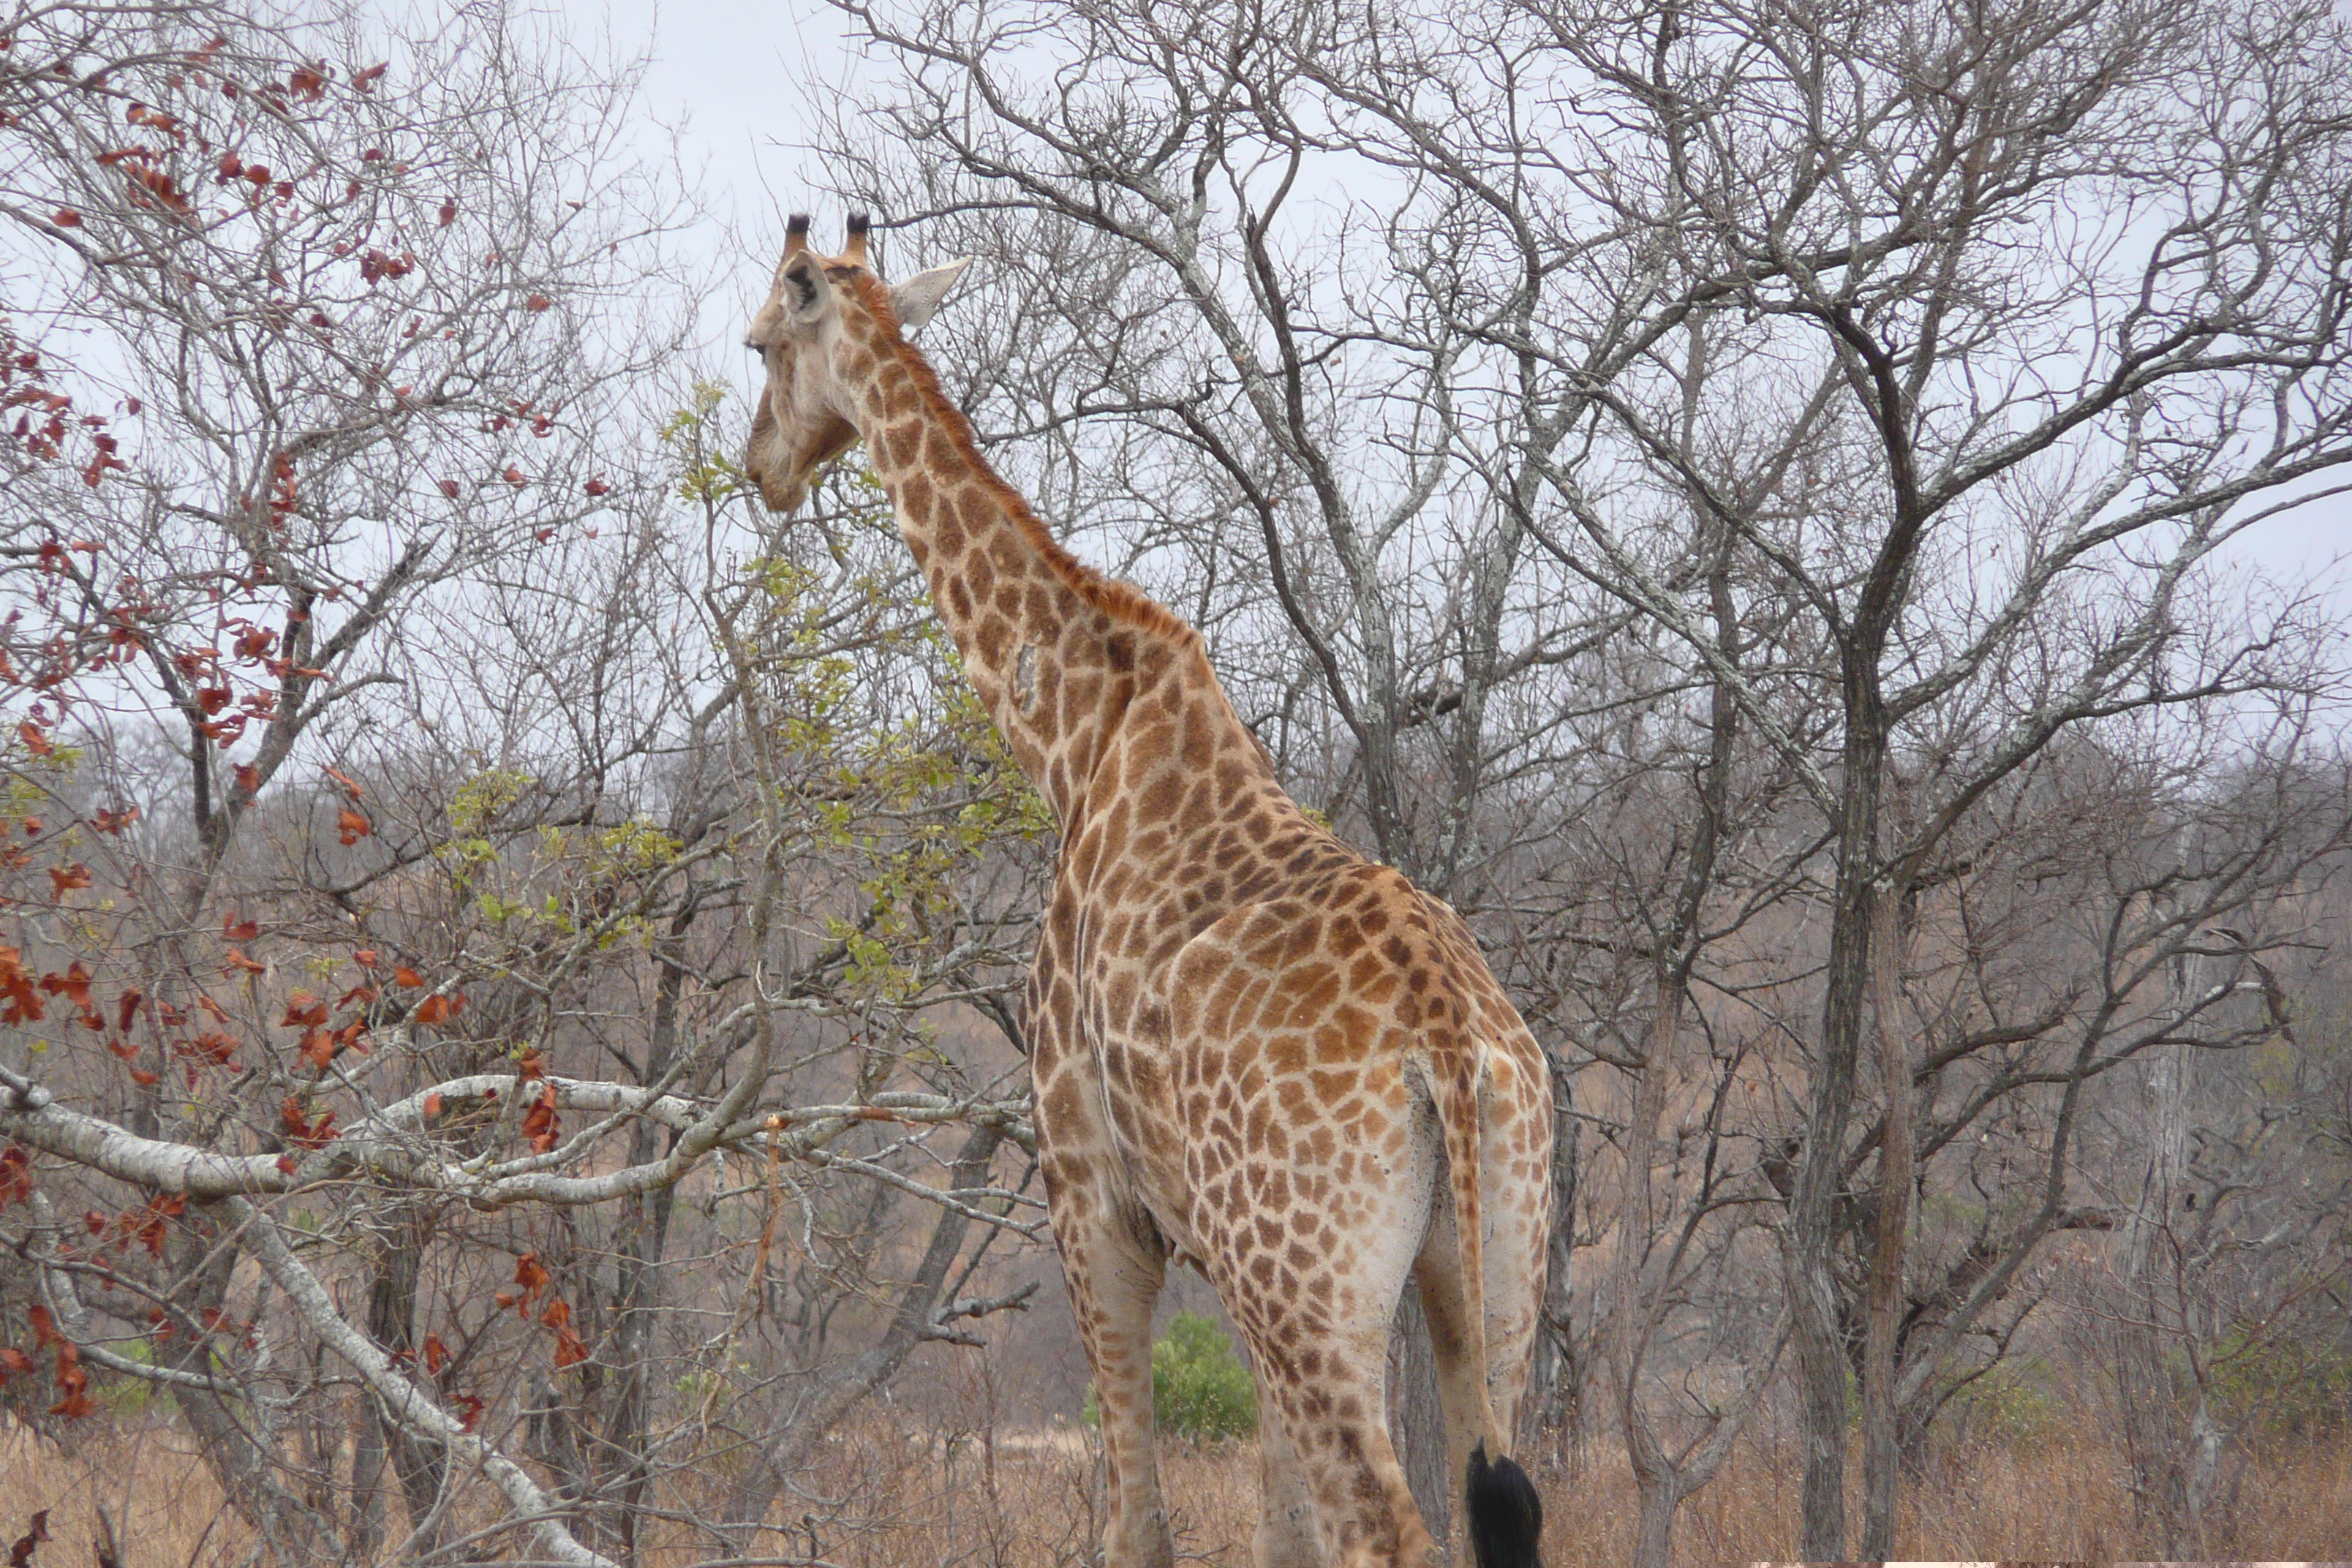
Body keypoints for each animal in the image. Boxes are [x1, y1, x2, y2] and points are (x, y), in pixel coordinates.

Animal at [753, 217, 1552, 1568]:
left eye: (761, 341)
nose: (762, 466)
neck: (1069, 735)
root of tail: (1451, 1038)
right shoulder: (1224, 1263)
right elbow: (1275, 1532)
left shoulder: (1091, 1193)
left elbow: (1139, 1523)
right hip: (1486, 1268)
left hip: (1314, 1286)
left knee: (1387, 1528)